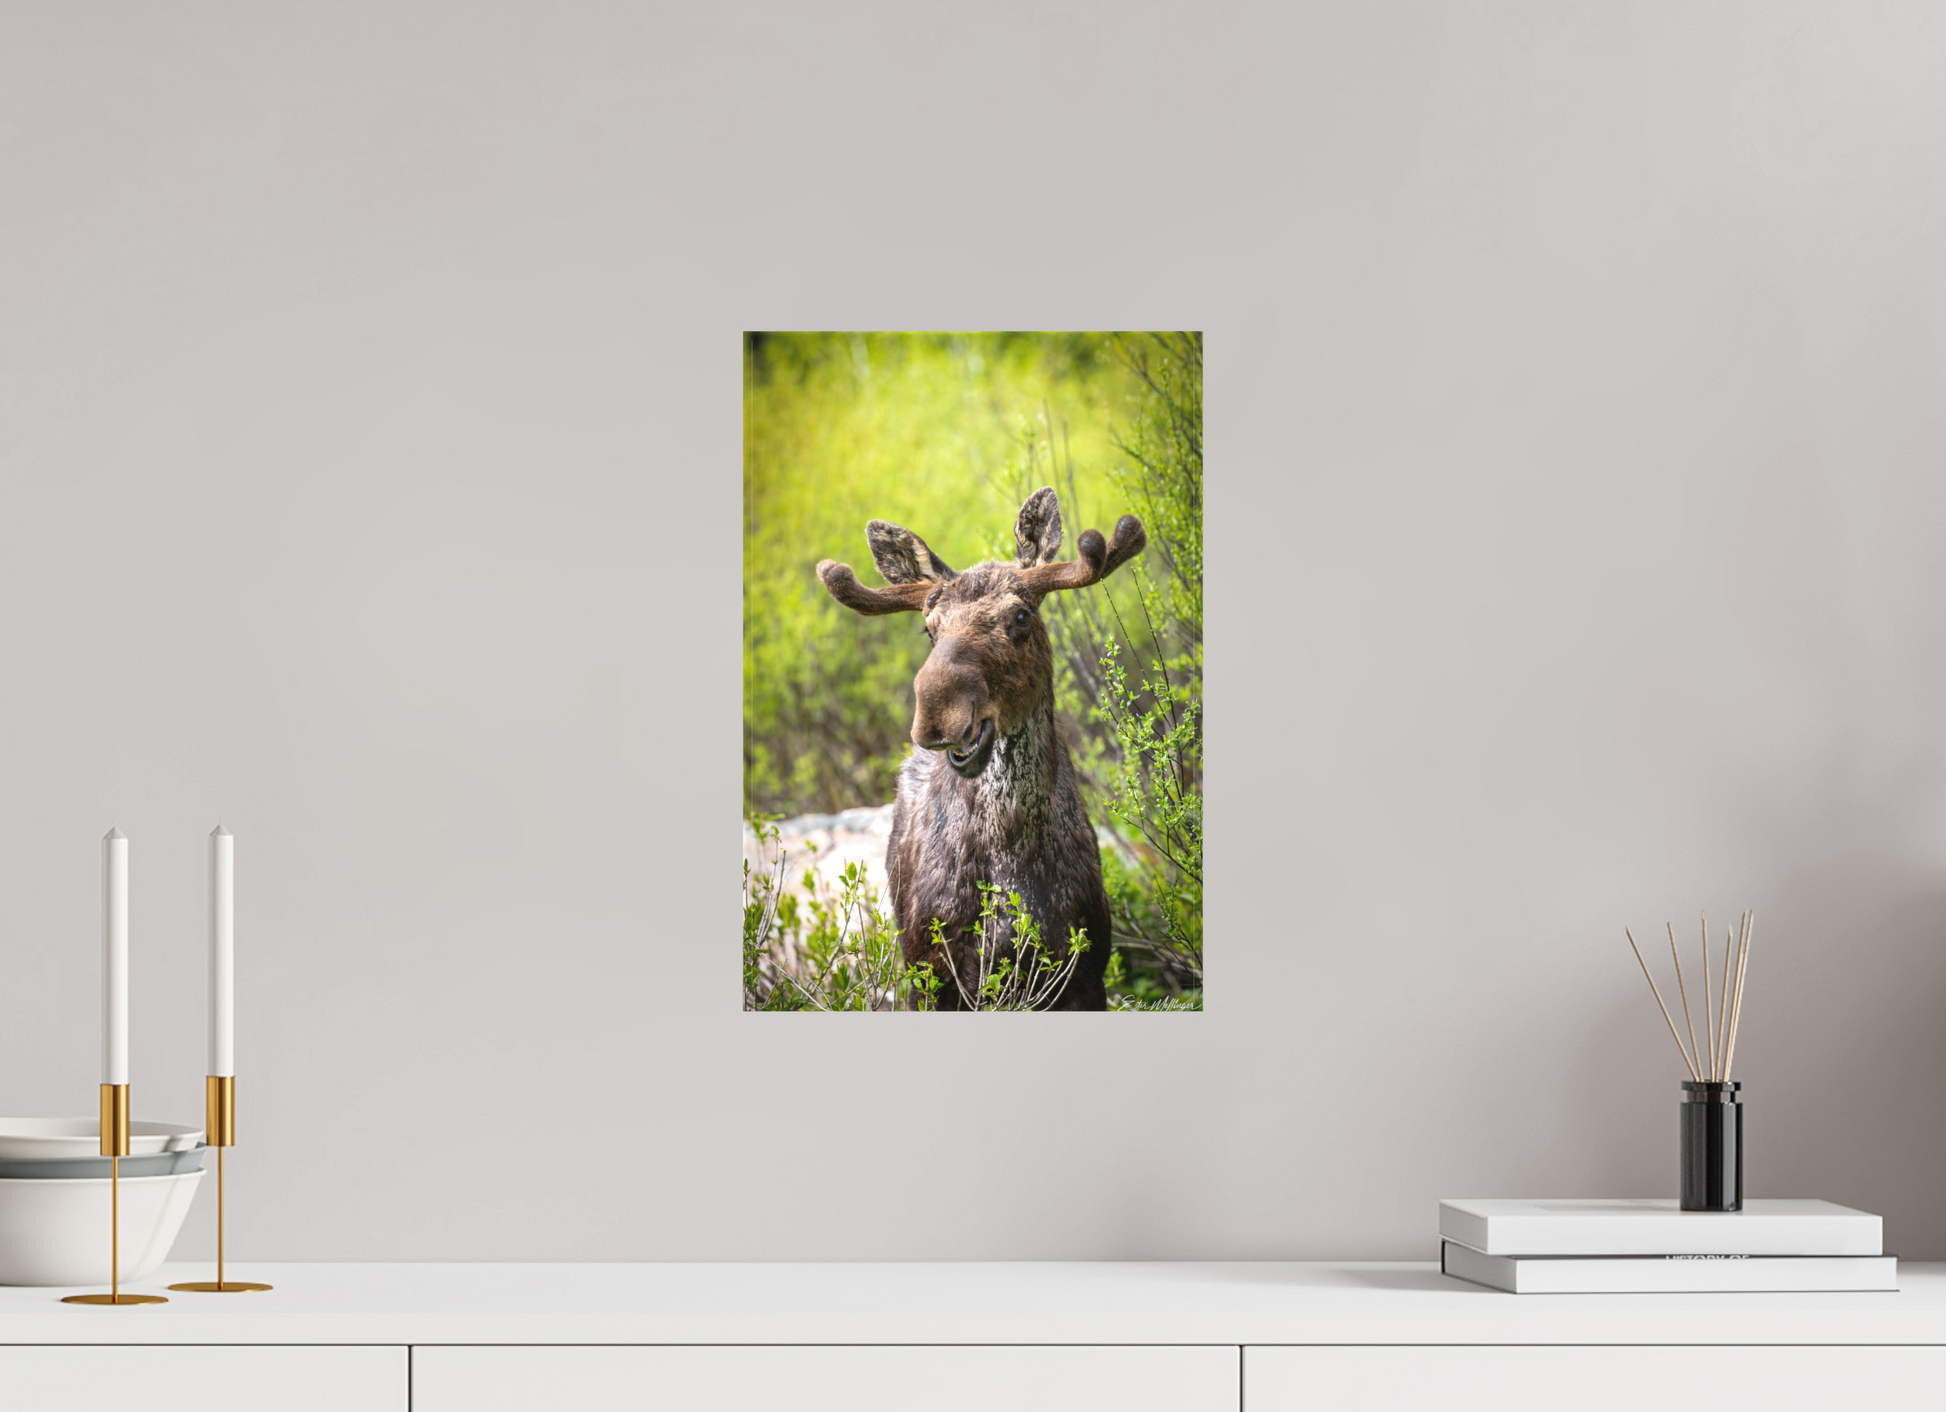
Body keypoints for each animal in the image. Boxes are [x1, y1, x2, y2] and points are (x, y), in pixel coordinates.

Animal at [815, 487, 1145, 1011]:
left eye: (1021, 615)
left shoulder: (1085, 977)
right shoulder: (933, 975)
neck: (1012, 857)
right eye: (929, 628)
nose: (936, 712)